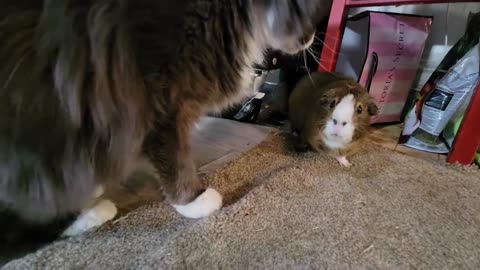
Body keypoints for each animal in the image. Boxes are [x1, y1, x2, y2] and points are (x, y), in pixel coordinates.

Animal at [0, 0, 324, 244]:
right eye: (309, 13)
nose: (312, 38)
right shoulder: (160, 108)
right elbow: (176, 162)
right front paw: (195, 201)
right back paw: (90, 211)